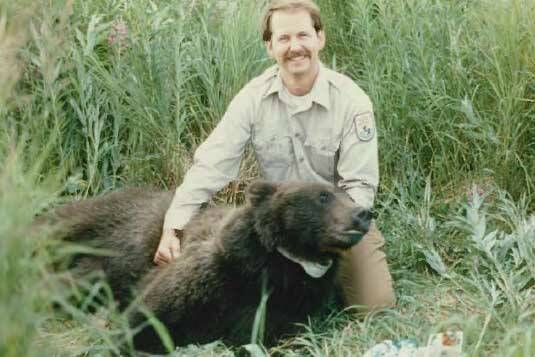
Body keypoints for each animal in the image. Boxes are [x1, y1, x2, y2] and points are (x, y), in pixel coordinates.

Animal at [50, 179, 372, 352]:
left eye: (347, 194)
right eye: (323, 196)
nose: (363, 213)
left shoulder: (287, 303)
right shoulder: (214, 269)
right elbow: (150, 312)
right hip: (104, 224)